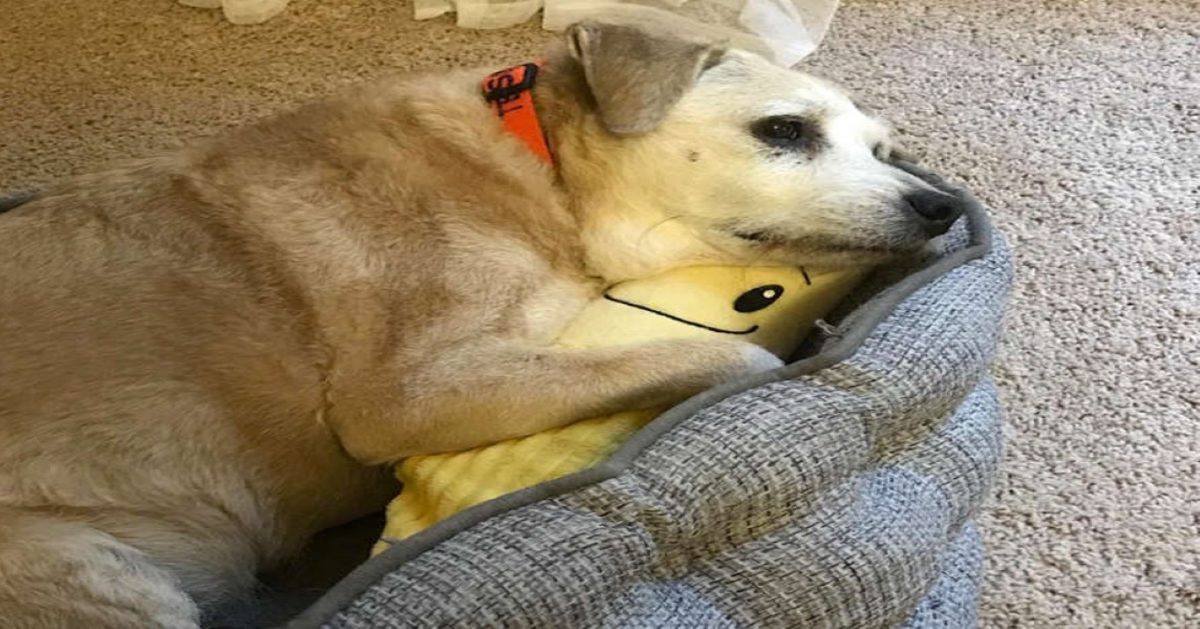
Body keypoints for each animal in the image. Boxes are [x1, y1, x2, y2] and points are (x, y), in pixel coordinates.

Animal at [0, 21, 961, 628]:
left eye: (883, 150)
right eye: (785, 130)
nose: (942, 206)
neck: (544, 172)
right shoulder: (409, 393)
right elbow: (700, 361)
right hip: (99, 577)